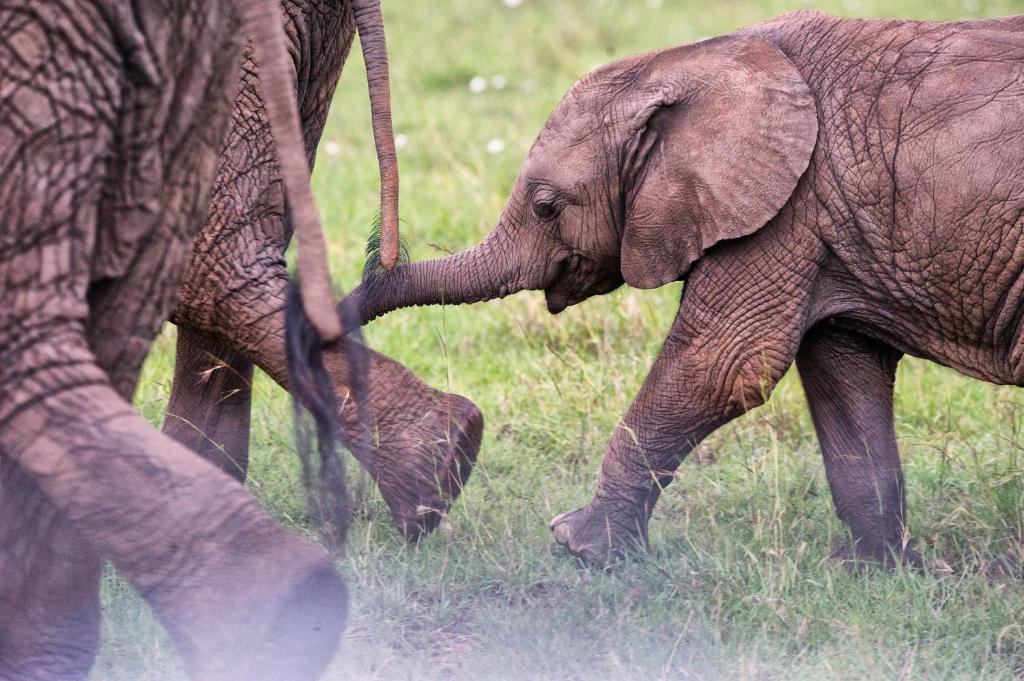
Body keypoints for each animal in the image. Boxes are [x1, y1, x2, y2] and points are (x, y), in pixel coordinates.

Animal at [348, 11, 1024, 569]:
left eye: (545, 207)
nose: (371, 264)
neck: (704, 59)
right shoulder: (822, 220)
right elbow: (843, 374)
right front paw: (871, 573)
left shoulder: (785, 208)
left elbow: (721, 366)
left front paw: (577, 546)